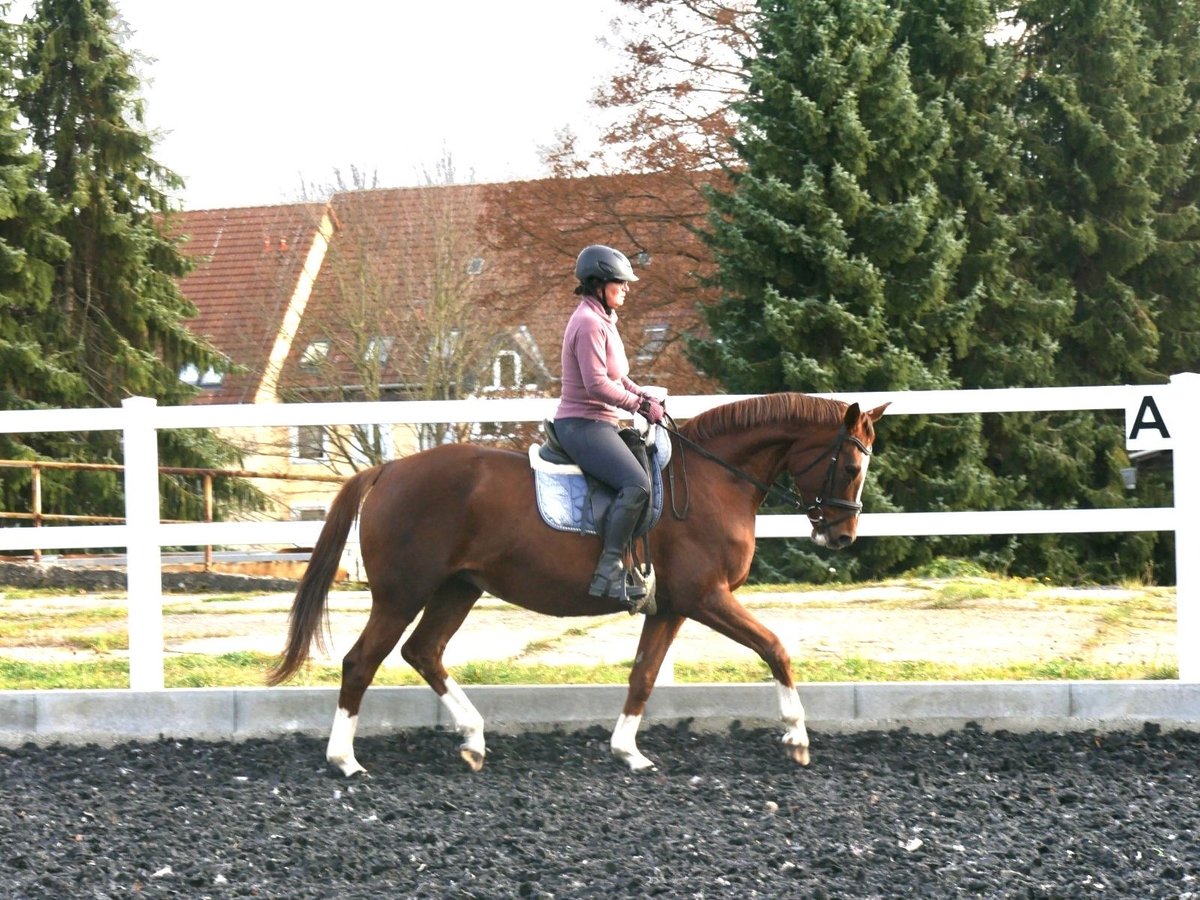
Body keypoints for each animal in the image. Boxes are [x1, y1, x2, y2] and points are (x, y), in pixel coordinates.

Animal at [267, 393, 889, 775]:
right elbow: (775, 648)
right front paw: (797, 737)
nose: (842, 535)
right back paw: (345, 760)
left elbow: (643, 676)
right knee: (362, 662)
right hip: (402, 595)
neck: (715, 480)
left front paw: (627, 752)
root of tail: (388, 470)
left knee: (424, 652)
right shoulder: (706, 597)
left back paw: (473, 738)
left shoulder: (670, 607)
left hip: (458, 588)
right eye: (852, 467)